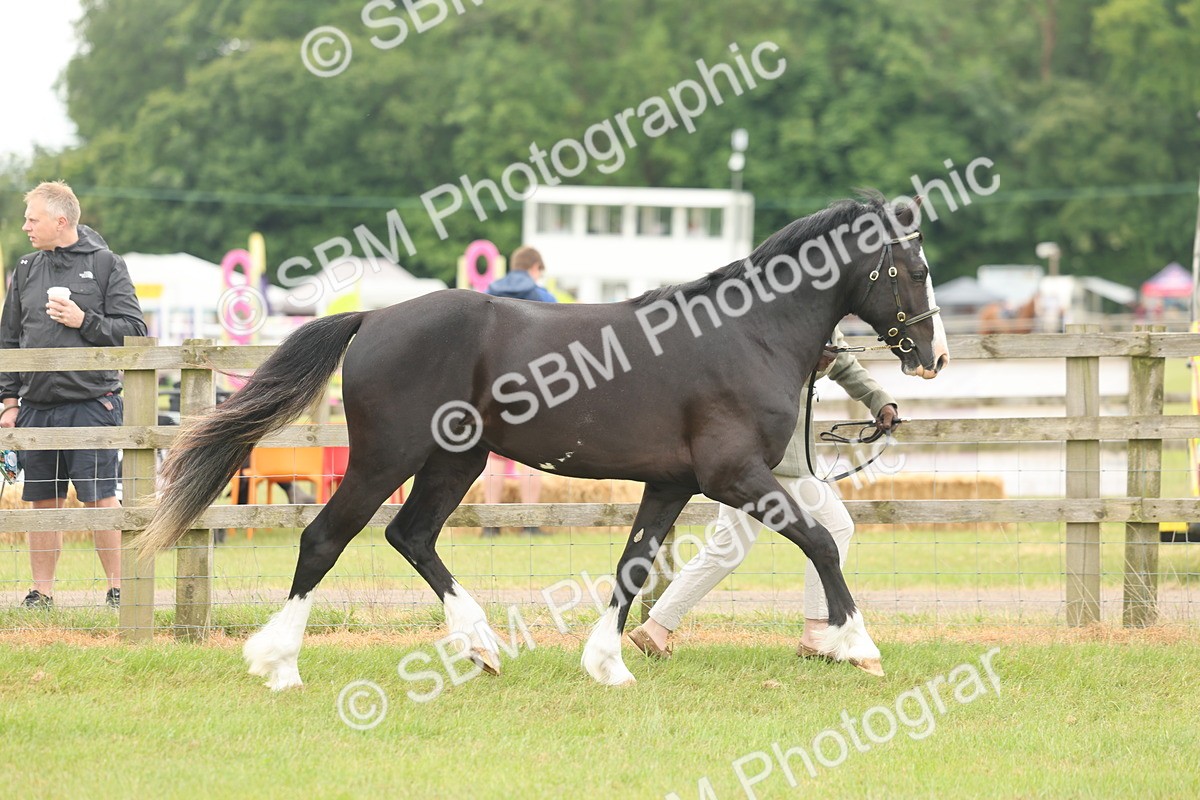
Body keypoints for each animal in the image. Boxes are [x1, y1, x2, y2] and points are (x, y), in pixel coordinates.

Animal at [137, 191, 949, 690]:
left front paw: (608, 665)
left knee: (411, 536)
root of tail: (374, 318)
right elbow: (820, 543)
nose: (933, 357)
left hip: (456, 460)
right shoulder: (736, 476)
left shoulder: (673, 483)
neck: (746, 333)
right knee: (324, 540)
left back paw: (481, 646)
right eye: (912, 269)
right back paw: (281, 663)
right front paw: (859, 646)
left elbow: (632, 566)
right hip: (385, 459)